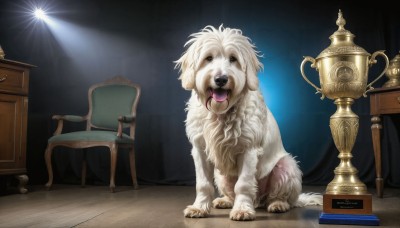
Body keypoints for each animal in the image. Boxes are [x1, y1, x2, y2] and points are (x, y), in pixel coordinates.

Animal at [175, 25, 322, 221]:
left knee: (281, 198)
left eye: (233, 59)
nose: (221, 79)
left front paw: (243, 210)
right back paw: (224, 201)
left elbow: (243, 185)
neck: (221, 112)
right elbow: (203, 183)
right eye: (208, 58)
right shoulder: (200, 149)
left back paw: (278, 204)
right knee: (230, 192)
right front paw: (199, 207)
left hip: (286, 166)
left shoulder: (248, 149)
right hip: (221, 175)